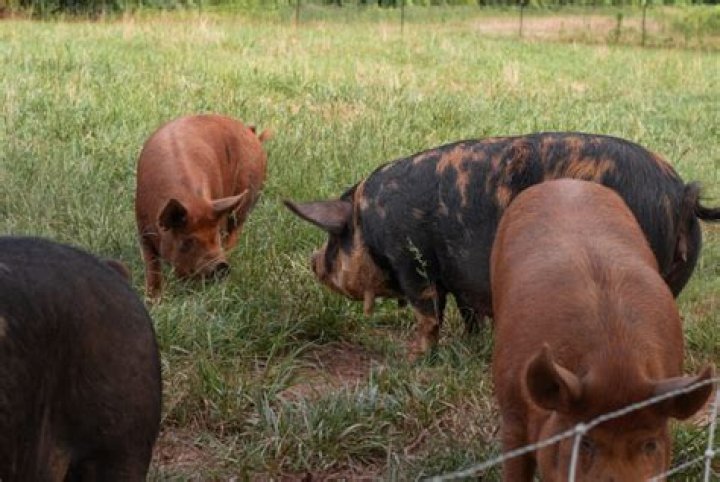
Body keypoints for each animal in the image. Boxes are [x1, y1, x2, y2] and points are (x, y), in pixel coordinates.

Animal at [135, 114, 272, 298]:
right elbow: (152, 265)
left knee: (235, 228)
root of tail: (251, 133)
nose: (221, 266)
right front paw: (153, 299)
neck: (192, 201)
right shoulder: (142, 229)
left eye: (215, 236)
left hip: (248, 196)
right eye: (187, 242)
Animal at [284, 132, 720, 359]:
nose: (312, 261)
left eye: (333, 237)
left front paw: (415, 358)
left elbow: (429, 315)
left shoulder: (414, 262)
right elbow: (469, 314)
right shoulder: (460, 277)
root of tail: (679, 194)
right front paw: (471, 345)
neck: (368, 219)